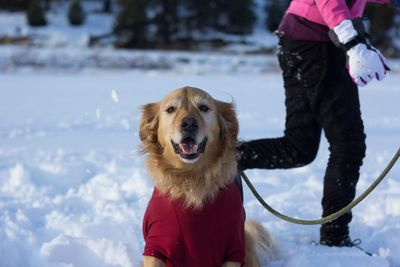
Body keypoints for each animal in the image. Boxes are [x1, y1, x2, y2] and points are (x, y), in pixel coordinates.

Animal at [140, 87, 278, 266]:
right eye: (170, 109)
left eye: (204, 108)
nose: (189, 123)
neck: (191, 178)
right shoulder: (157, 245)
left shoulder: (233, 246)